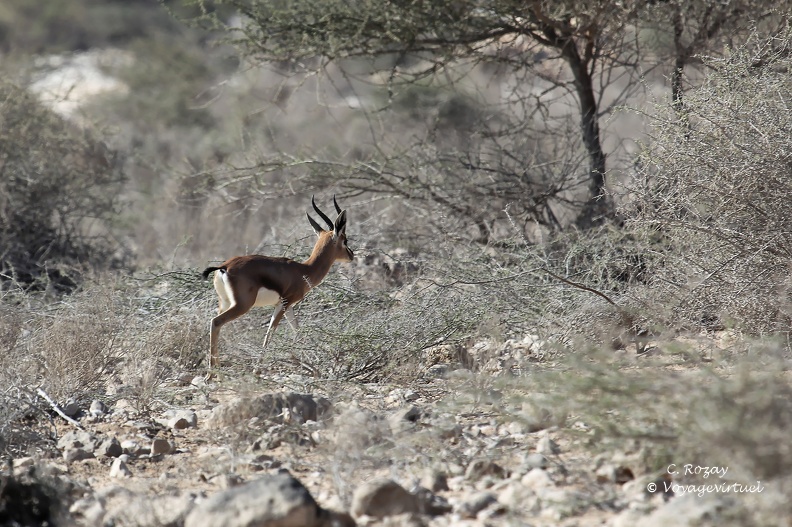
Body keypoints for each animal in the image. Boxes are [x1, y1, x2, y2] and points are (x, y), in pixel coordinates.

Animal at [202, 196, 354, 369]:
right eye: (345, 240)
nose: (352, 255)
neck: (304, 270)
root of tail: (224, 266)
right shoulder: (284, 303)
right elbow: (269, 334)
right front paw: (258, 370)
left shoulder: (289, 307)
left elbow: (297, 330)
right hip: (242, 305)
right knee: (216, 322)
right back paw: (213, 372)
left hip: (224, 303)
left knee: (216, 325)